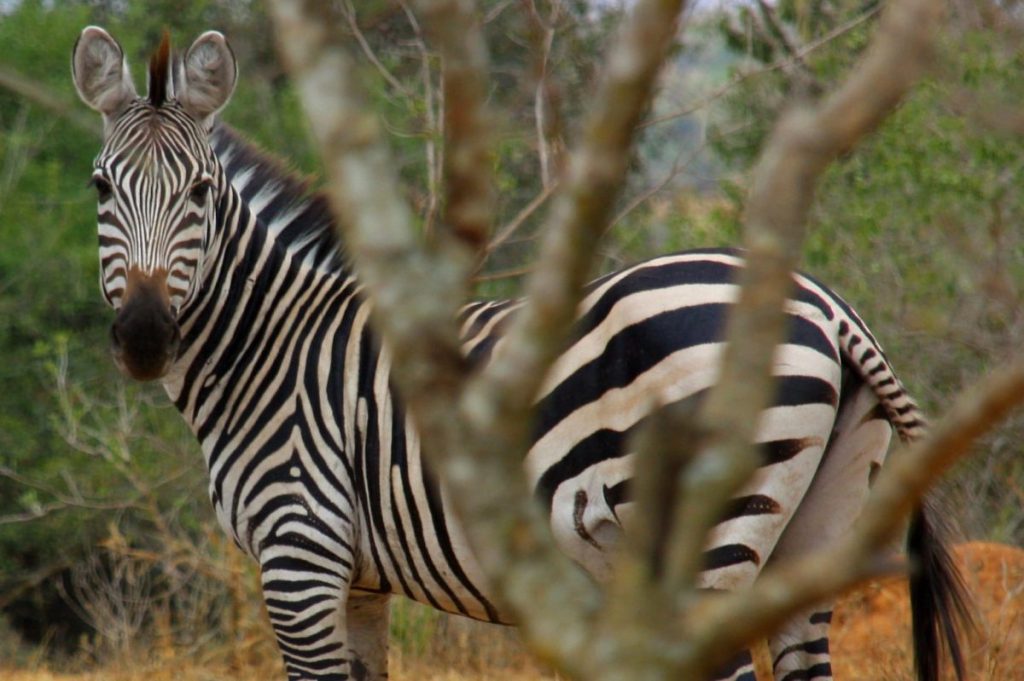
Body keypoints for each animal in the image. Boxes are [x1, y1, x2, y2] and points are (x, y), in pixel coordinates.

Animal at [72, 26, 966, 679]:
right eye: (100, 186)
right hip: (814, 526)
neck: (269, 346)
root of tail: (826, 303)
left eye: (198, 193)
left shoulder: (300, 551)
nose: (145, 337)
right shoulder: (358, 578)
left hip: (701, 541)